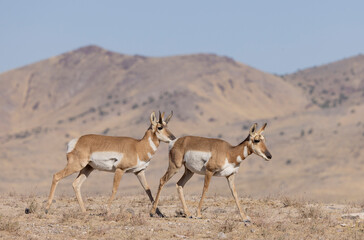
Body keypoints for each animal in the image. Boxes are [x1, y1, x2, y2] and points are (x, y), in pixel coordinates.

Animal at [45, 110, 175, 214]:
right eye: (160, 127)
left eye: (167, 126)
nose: (173, 137)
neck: (138, 146)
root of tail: (76, 141)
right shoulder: (120, 170)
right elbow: (114, 189)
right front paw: (107, 211)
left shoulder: (139, 172)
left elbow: (148, 190)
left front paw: (159, 213)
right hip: (76, 166)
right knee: (56, 176)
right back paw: (46, 208)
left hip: (87, 168)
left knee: (76, 184)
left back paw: (84, 212)